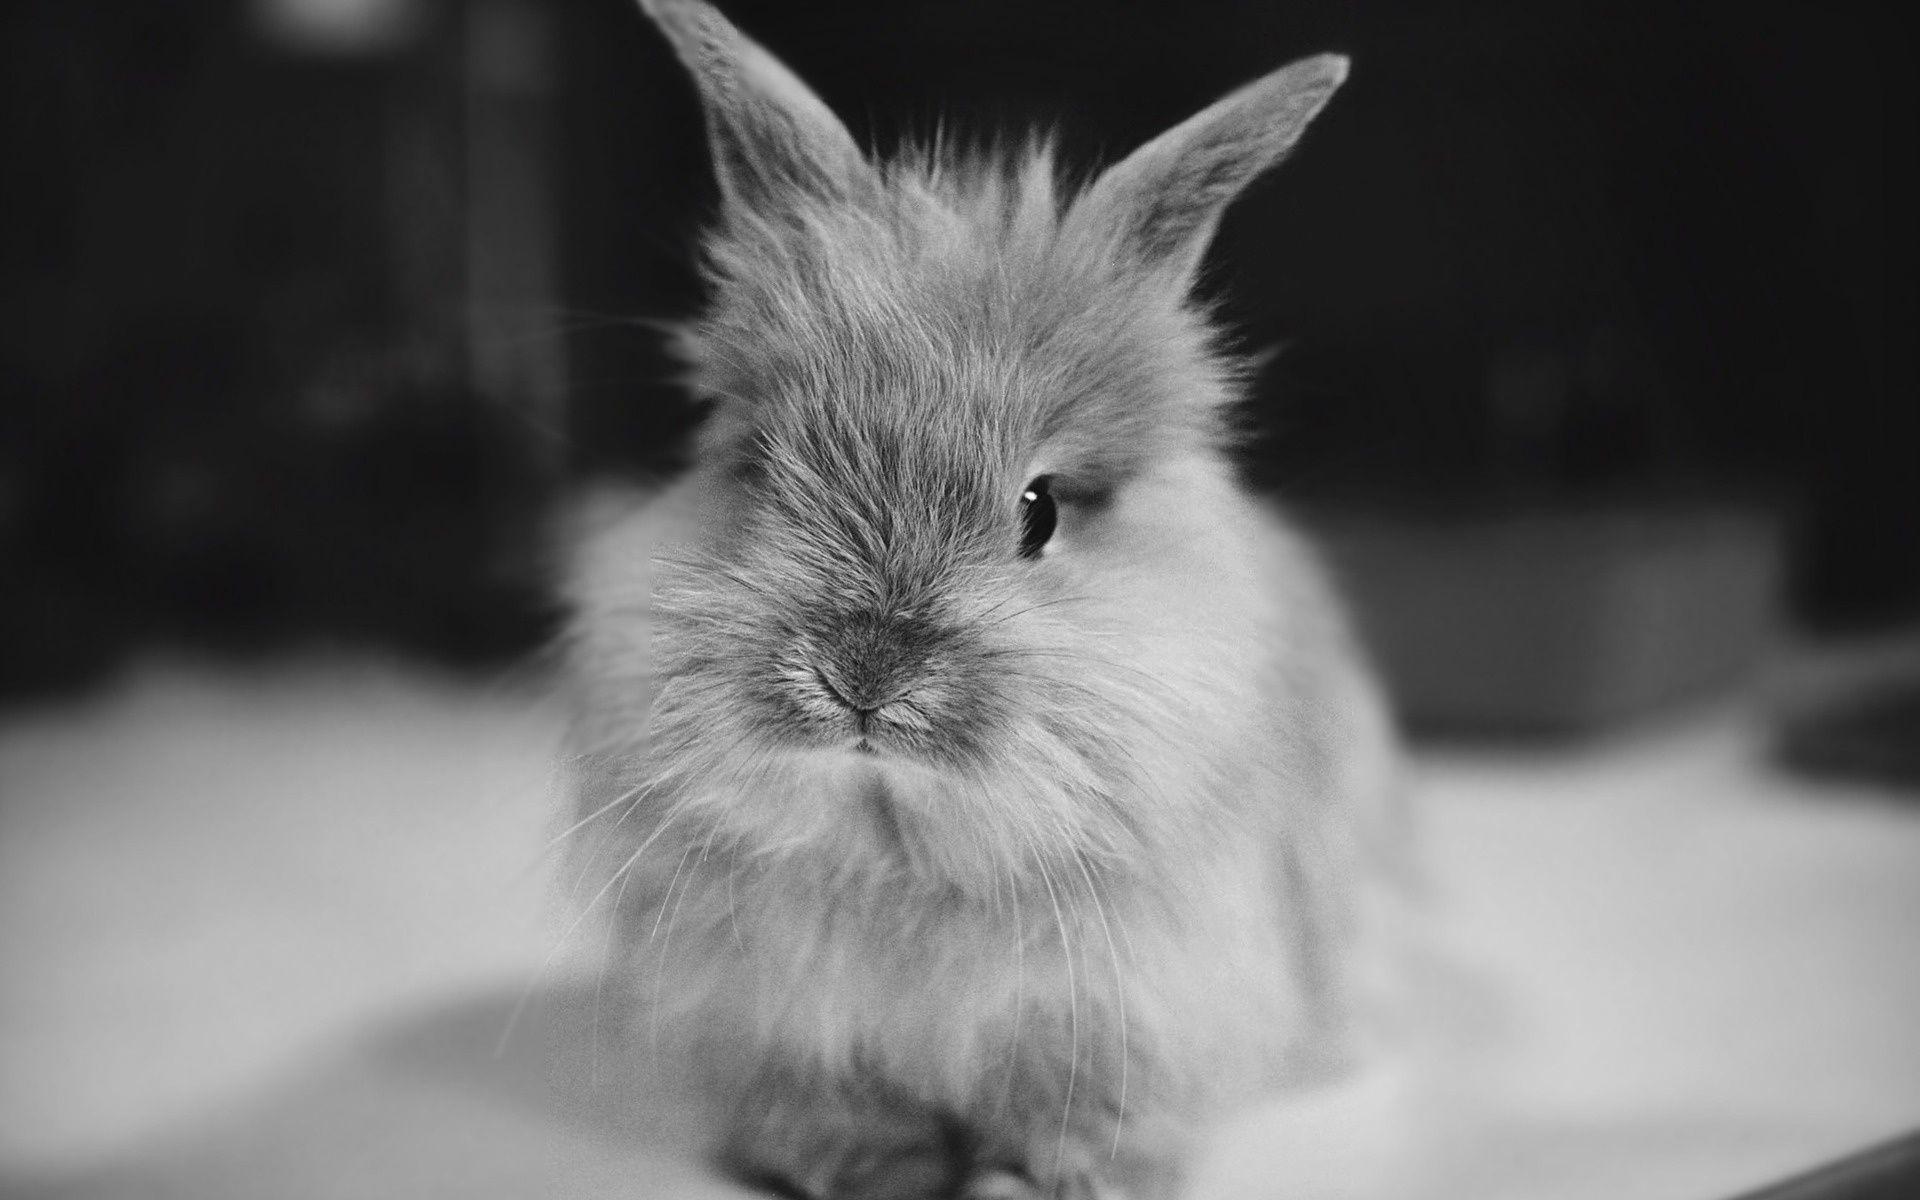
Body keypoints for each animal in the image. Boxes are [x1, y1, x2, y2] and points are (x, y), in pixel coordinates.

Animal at [559, 2, 1404, 1196]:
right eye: (762, 467)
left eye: (1038, 511)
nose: (863, 675)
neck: (903, 841)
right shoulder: (783, 1029)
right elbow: (829, 1118)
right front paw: (886, 1176)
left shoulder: (1118, 1016)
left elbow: (1085, 1132)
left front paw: (1021, 1186)